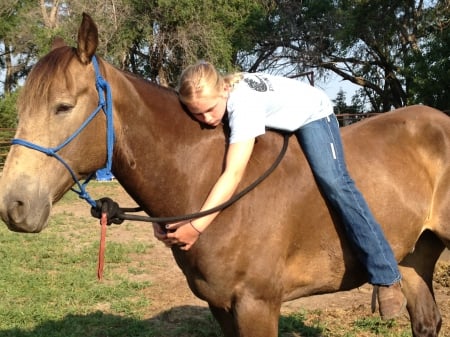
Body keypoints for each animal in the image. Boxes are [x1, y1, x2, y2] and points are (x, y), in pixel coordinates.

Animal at [0, 11, 450, 334]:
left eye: (63, 106)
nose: (13, 205)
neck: (204, 183)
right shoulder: (220, 306)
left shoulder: (257, 305)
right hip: (415, 257)